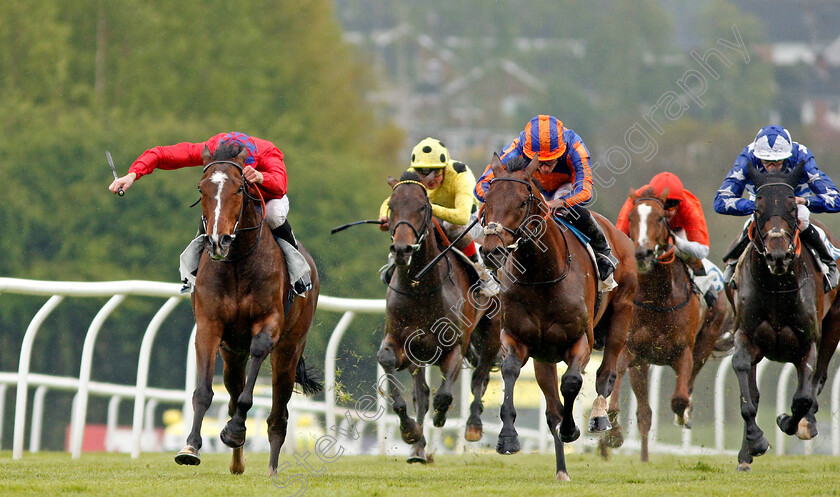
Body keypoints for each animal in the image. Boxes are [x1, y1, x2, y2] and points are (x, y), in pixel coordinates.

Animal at [174, 142, 322, 472]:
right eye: (201, 188)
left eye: (240, 188)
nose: (218, 240)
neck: (237, 264)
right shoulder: (209, 326)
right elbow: (204, 392)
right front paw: (191, 446)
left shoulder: (268, 325)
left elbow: (248, 392)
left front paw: (235, 431)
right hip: (231, 355)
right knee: (231, 393)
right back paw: (237, 462)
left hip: (289, 351)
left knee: (278, 413)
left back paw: (271, 468)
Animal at [378, 172, 502, 464]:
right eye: (391, 207)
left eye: (422, 207)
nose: (401, 249)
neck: (420, 288)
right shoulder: (403, 343)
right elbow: (391, 367)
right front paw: (410, 432)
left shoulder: (455, 345)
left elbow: (444, 394)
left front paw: (442, 417)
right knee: (422, 394)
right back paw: (418, 449)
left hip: (492, 331)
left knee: (480, 377)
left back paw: (473, 425)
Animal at [480, 155, 636, 480]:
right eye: (487, 199)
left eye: (521, 202)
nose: (492, 251)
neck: (542, 275)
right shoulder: (517, 338)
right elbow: (510, 372)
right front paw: (507, 438)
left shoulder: (581, 340)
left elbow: (572, 382)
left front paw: (571, 427)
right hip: (544, 357)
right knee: (551, 408)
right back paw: (561, 470)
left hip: (622, 310)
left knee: (607, 371)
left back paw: (598, 417)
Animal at [596, 186, 728, 462]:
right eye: (632, 219)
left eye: (659, 218)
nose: (642, 253)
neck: (658, 297)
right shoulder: (631, 350)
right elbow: (615, 391)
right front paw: (613, 434)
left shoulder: (683, 352)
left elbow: (679, 398)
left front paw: (684, 413)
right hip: (642, 364)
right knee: (644, 413)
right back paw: (641, 457)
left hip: (706, 342)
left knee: (688, 383)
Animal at [728, 162, 840, 468]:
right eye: (757, 208)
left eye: (791, 208)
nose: (778, 256)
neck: (777, 288)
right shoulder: (746, 336)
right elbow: (746, 394)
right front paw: (755, 442)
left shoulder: (807, 343)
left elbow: (803, 396)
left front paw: (790, 421)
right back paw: (745, 454)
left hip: (833, 326)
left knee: (819, 378)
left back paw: (807, 423)